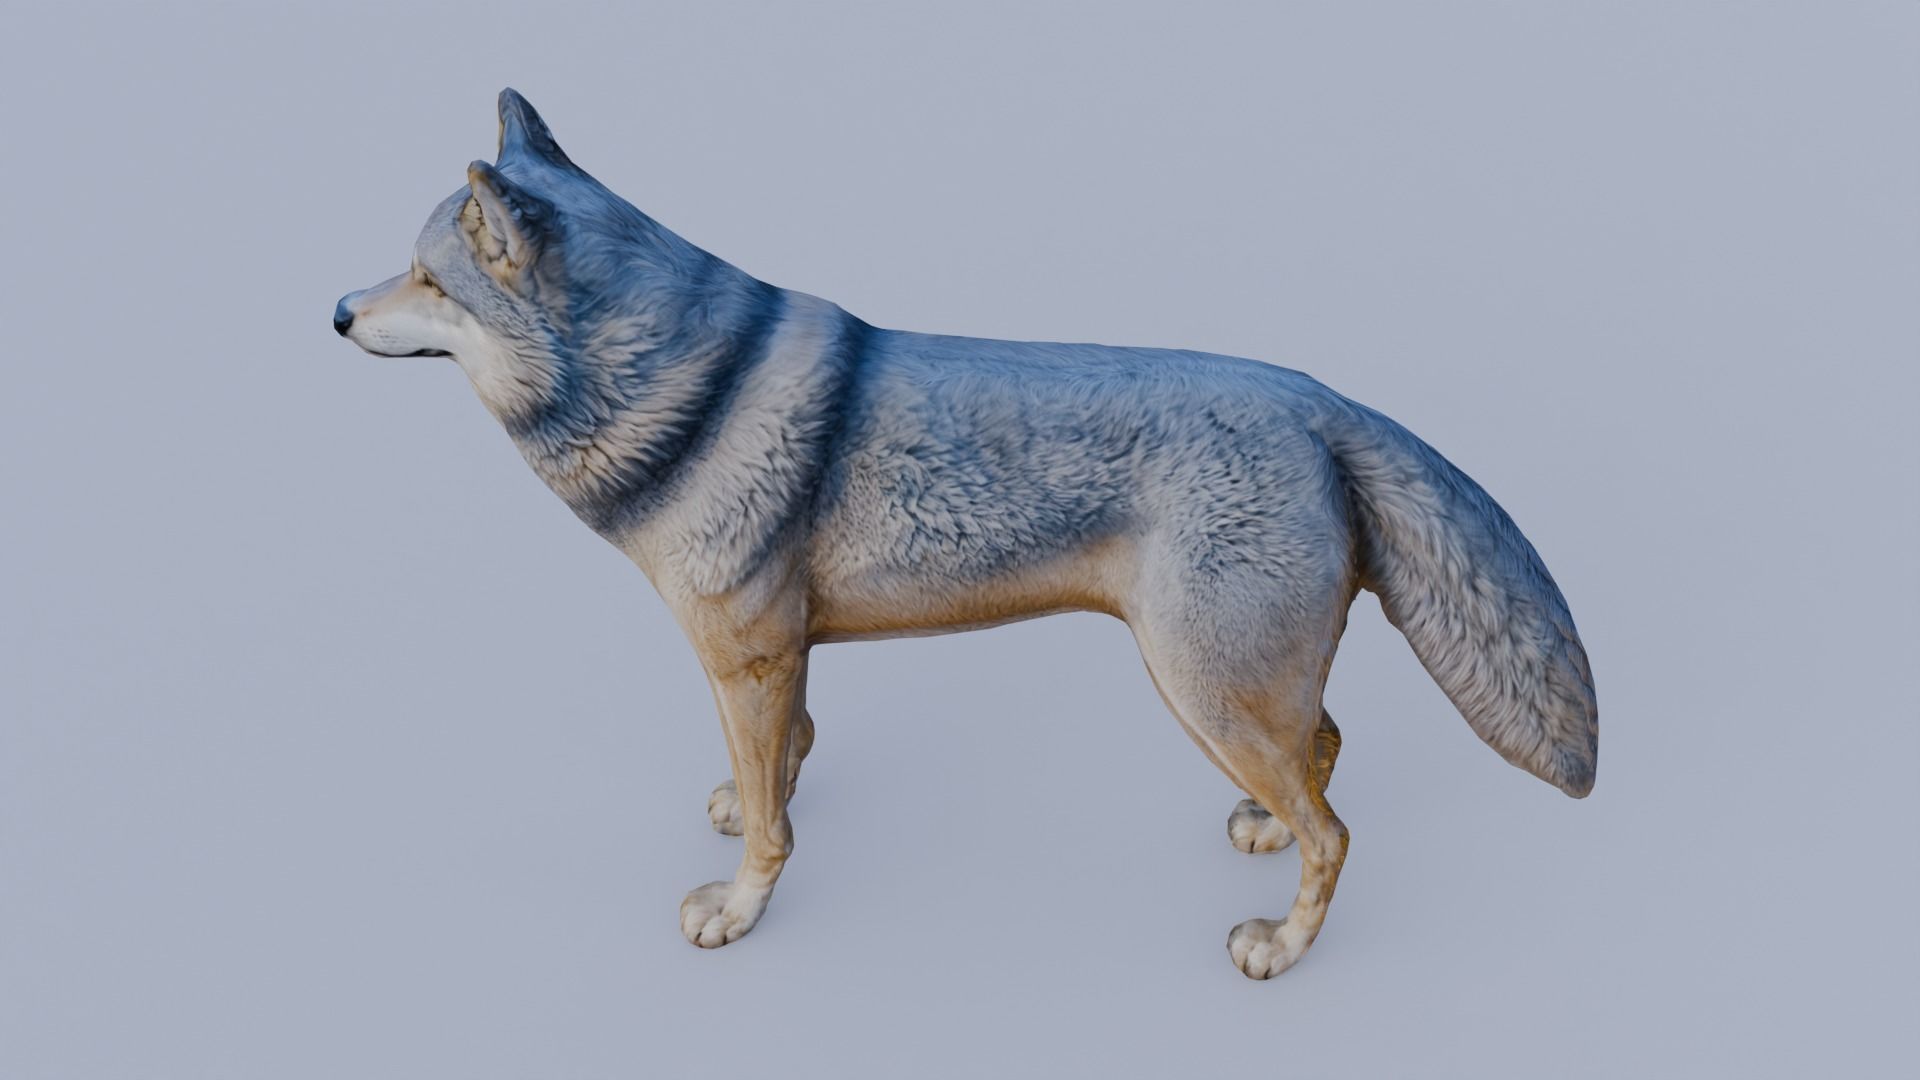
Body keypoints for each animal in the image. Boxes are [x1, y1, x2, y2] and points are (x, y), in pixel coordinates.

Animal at [334, 90, 1596, 979]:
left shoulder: (744, 655)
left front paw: (739, 910)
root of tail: (1326, 400)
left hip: (1202, 689)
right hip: (1243, 693)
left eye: (427, 278)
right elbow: (785, 763)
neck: (690, 389)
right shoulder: (779, 654)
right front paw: (753, 799)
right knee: (1325, 754)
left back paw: (1281, 948)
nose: (338, 311)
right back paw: (1265, 837)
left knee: (1336, 829)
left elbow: (772, 830)